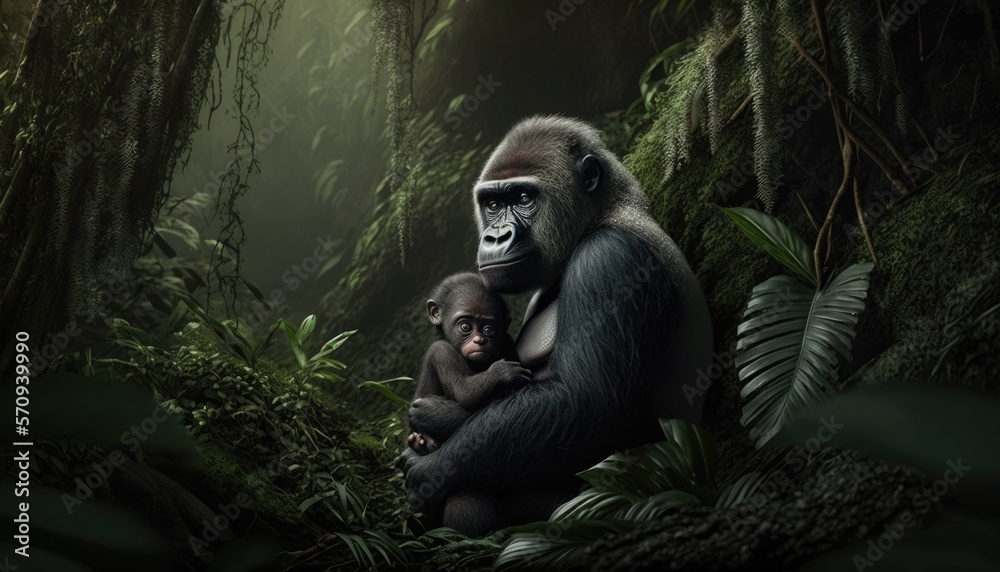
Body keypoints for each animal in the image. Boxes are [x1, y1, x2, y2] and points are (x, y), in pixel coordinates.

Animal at [406, 272, 530, 454]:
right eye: (465, 326)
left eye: (488, 329)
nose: (479, 340)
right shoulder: (441, 352)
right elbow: (464, 390)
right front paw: (501, 373)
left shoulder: (506, 340)